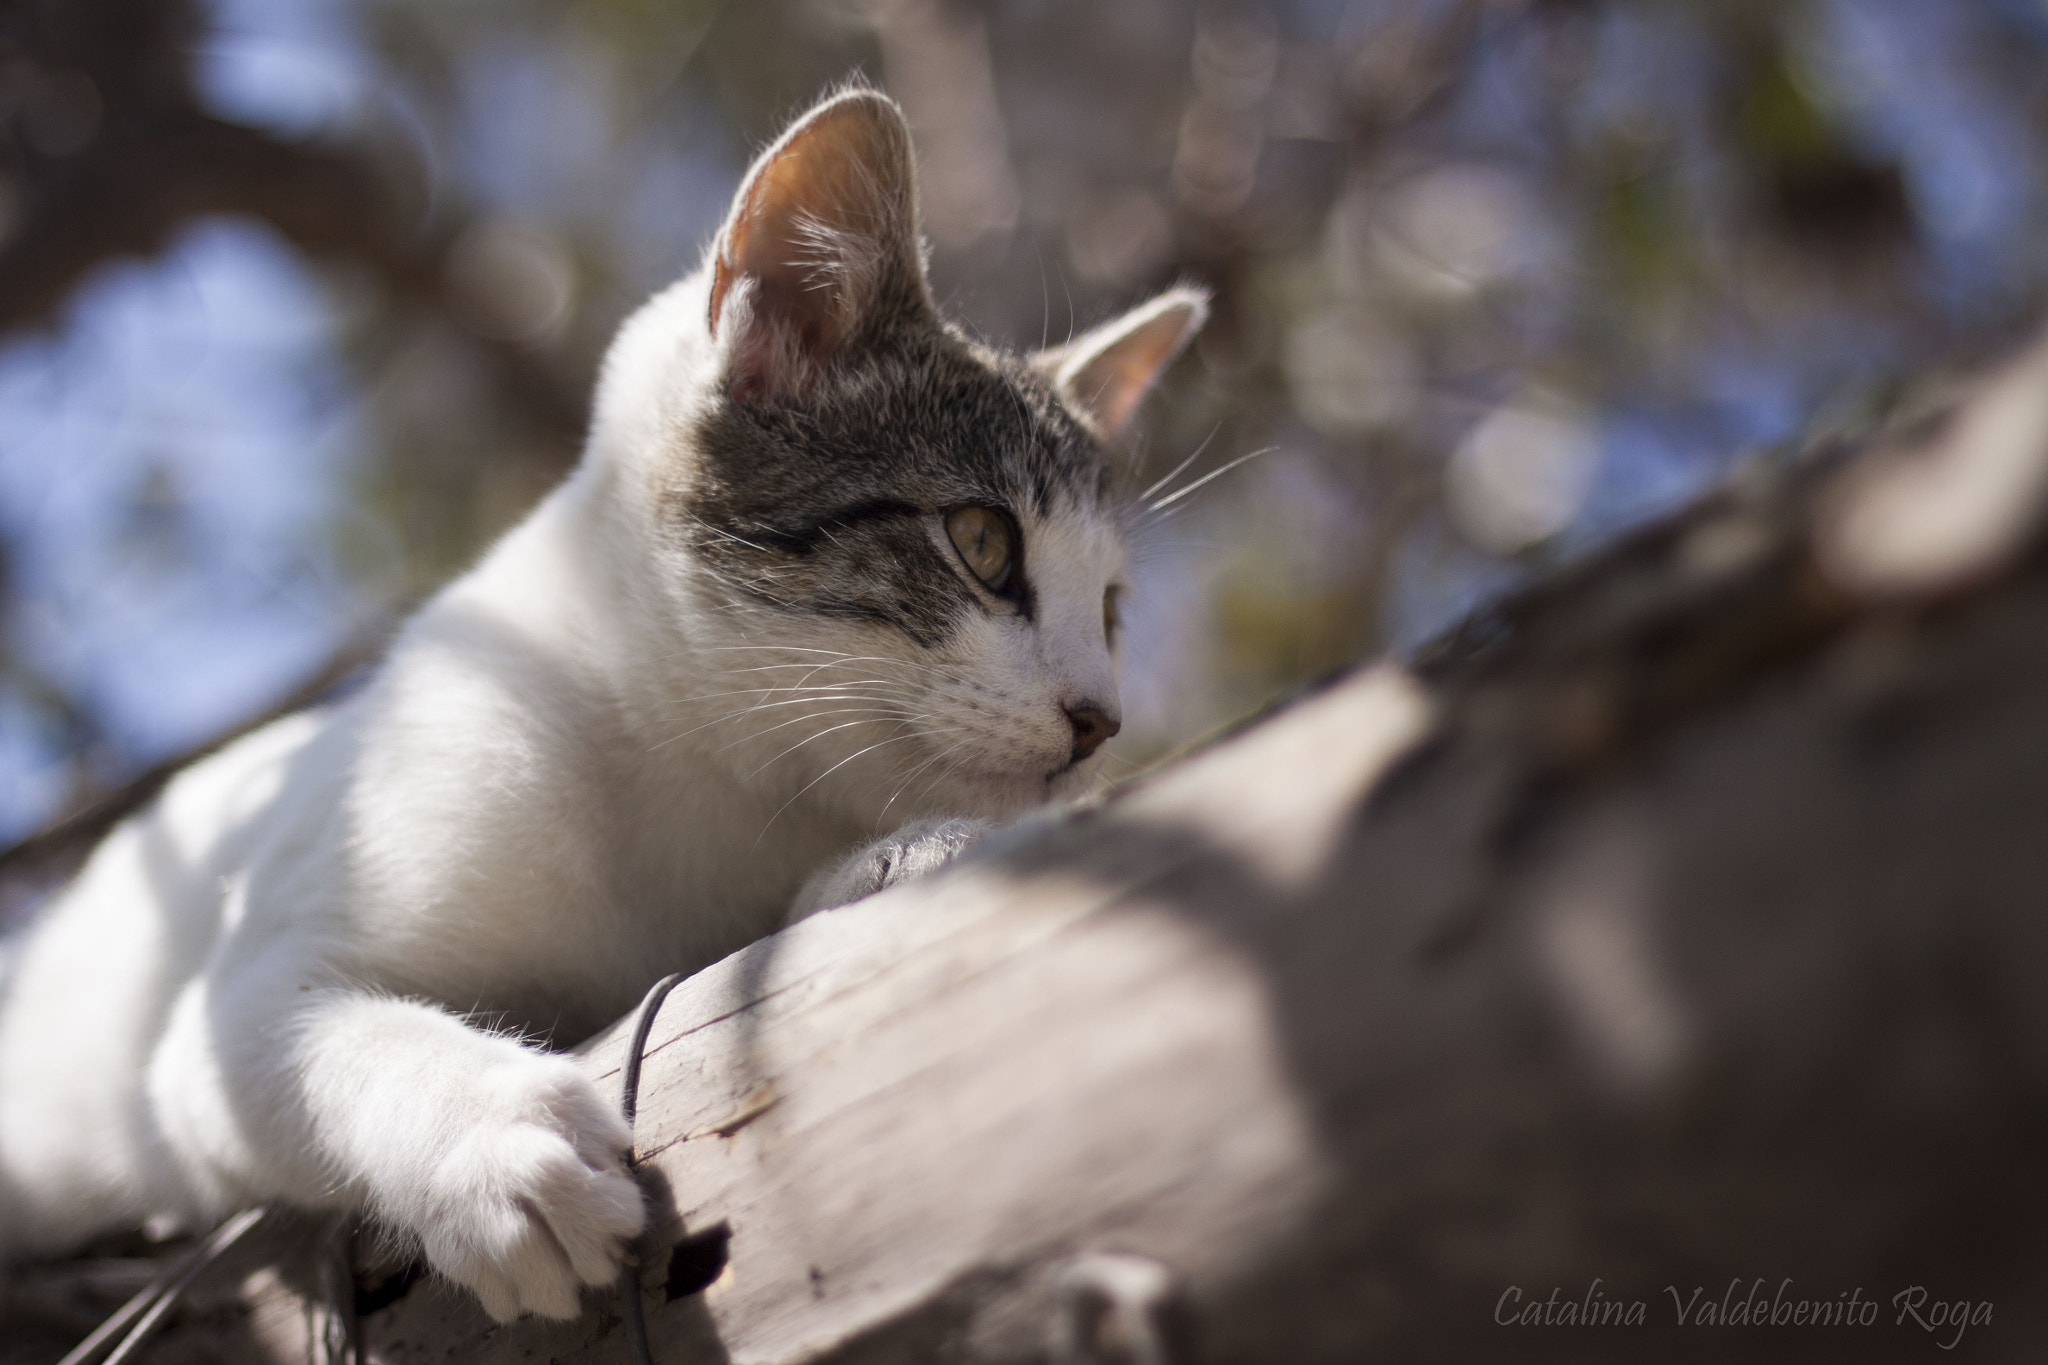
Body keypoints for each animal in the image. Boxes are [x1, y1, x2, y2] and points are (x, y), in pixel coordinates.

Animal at [0, 87, 1204, 1326]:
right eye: (980, 542)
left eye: (1111, 610)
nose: (1100, 718)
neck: (708, 776)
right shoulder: (230, 1005)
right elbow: (303, 1036)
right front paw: (491, 1142)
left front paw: (902, 853)